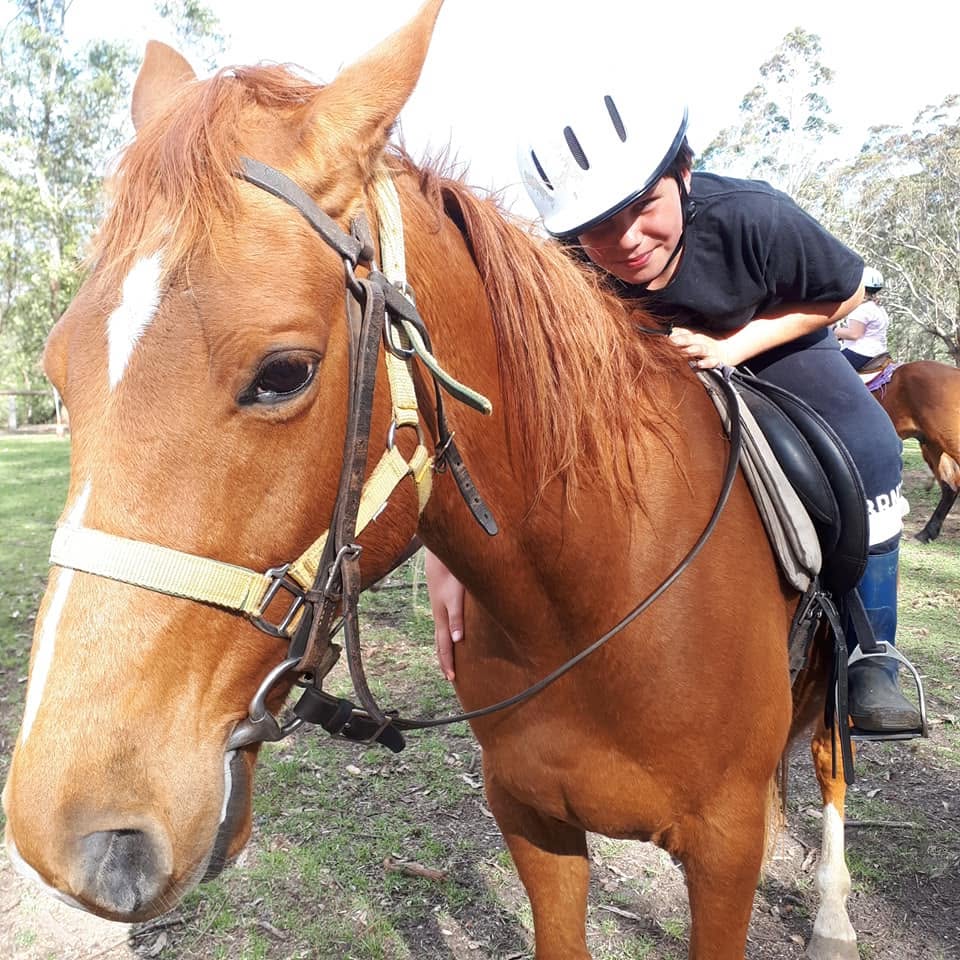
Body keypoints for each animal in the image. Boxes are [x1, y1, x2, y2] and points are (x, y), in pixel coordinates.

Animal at [2, 3, 861, 957]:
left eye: (284, 373)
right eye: (59, 369)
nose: (73, 835)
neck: (601, 599)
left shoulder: (724, 851)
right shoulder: (532, 818)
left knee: (832, 760)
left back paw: (833, 912)